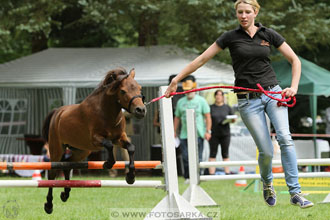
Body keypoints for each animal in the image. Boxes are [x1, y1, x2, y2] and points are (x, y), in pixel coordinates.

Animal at [41, 68, 146, 214]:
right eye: (123, 91)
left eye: (139, 88)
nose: (140, 110)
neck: (106, 113)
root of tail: (58, 112)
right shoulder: (96, 139)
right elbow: (108, 145)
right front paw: (107, 164)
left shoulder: (119, 138)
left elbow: (131, 148)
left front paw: (130, 177)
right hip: (56, 150)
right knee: (52, 174)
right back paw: (49, 205)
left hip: (81, 151)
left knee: (68, 165)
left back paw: (65, 194)